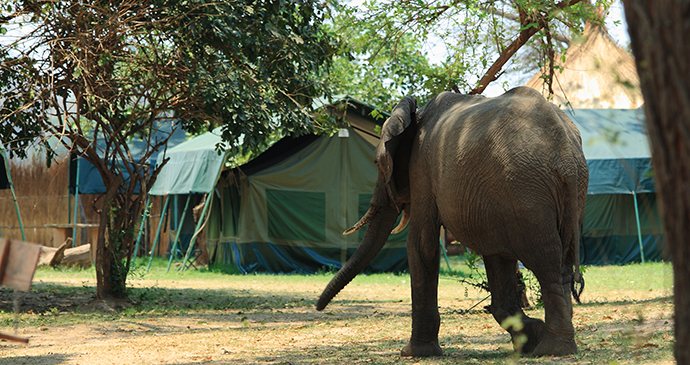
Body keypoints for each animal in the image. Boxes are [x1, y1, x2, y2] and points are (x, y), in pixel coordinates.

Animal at [316, 86, 584, 356]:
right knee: (561, 264)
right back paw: (550, 342)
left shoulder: (422, 168)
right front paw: (529, 335)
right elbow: (496, 254)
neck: (415, 115)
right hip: (555, 193)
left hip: (525, 191)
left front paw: (414, 353)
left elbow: (421, 245)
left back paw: (552, 349)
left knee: (545, 262)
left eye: (376, 163)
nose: (319, 307)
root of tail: (566, 154)